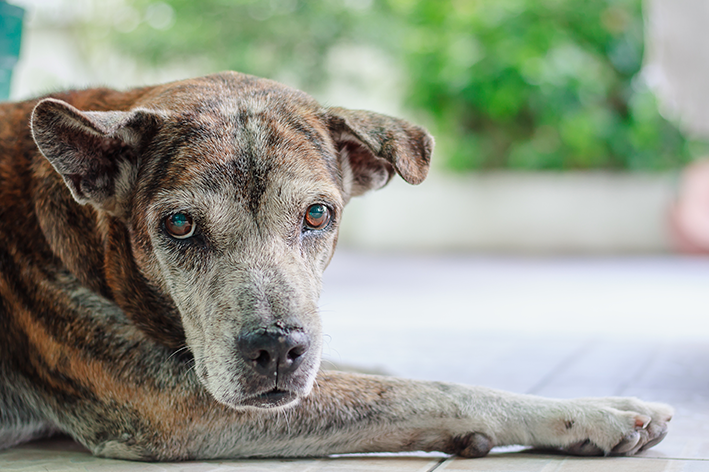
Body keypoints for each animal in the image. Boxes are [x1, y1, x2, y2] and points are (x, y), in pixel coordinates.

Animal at [0, 72, 672, 460]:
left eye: (318, 214)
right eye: (180, 225)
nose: (276, 349)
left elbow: (381, 373)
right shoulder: (175, 407)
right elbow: (416, 392)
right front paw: (595, 413)